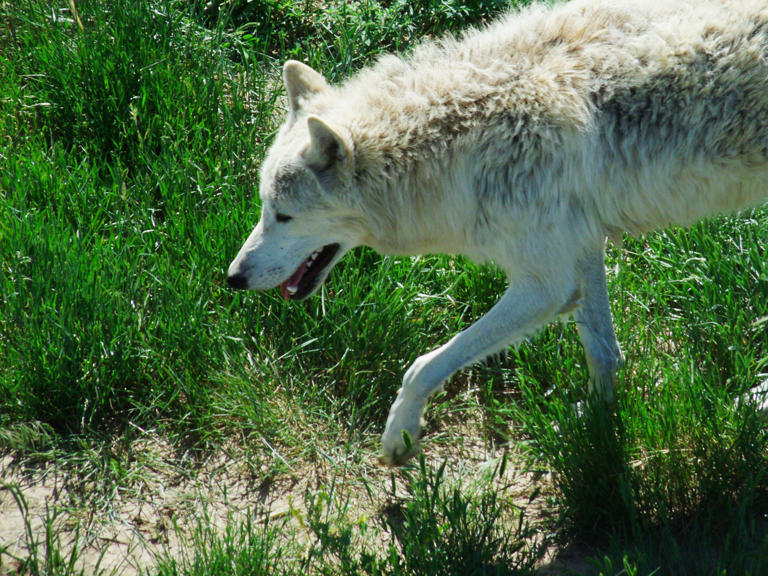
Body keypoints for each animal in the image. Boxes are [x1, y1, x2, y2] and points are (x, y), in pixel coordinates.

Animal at [227, 0, 768, 464]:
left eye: (283, 216)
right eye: (264, 207)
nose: (233, 278)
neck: (461, 142)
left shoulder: (545, 286)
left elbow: (422, 365)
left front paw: (400, 436)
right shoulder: (577, 253)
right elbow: (604, 353)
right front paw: (594, 423)